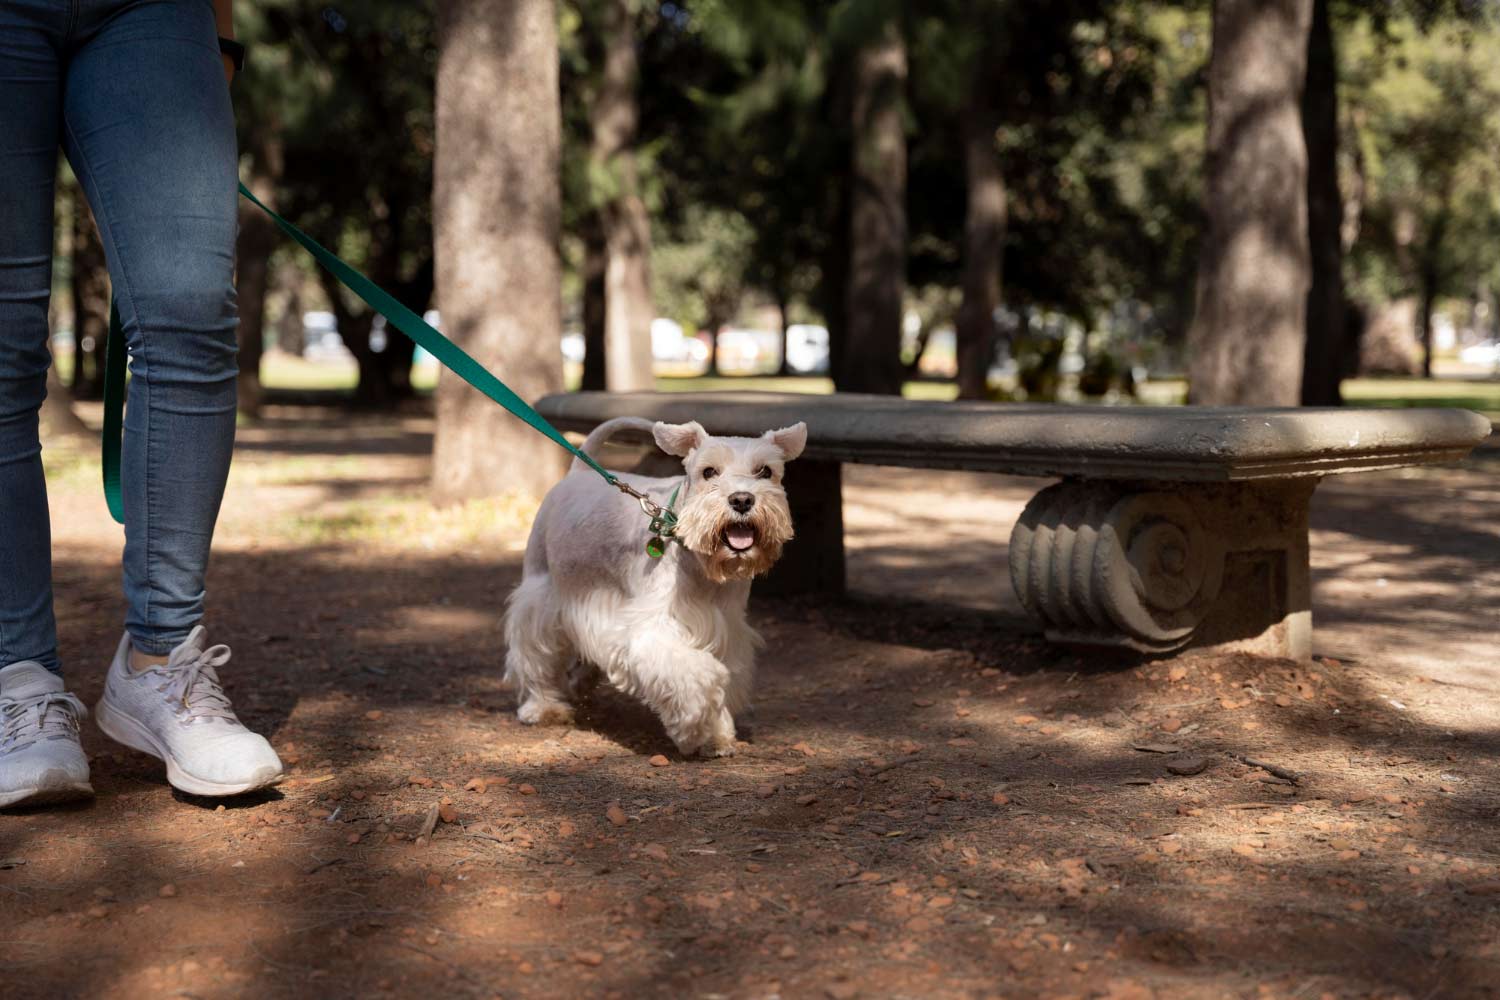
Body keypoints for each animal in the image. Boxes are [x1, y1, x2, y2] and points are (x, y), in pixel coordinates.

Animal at [504, 416, 810, 758]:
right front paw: (694, 730)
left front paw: (717, 737)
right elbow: (699, 677)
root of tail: (577, 472)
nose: (742, 499)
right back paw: (542, 706)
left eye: (765, 471)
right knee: (533, 652)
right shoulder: (652, 631)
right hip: (541, 591)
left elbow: (724, 677)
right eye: (709, 472)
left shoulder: (727, 631)